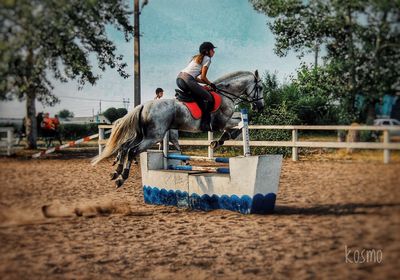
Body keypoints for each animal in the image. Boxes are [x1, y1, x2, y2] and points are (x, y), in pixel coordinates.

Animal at [92, 70, 264, 188]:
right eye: (261, 87)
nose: (260, 107)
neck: (226, 95)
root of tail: (143, 106)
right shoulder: (222, 122)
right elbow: (238, 125)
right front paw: (219, 141)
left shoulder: (225, 121)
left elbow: (238, 123)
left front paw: (217, 142)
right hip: (153, 136)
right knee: (132, 150)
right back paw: (121, 178)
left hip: (144, 135)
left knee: (125, 147)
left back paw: (116, 172)